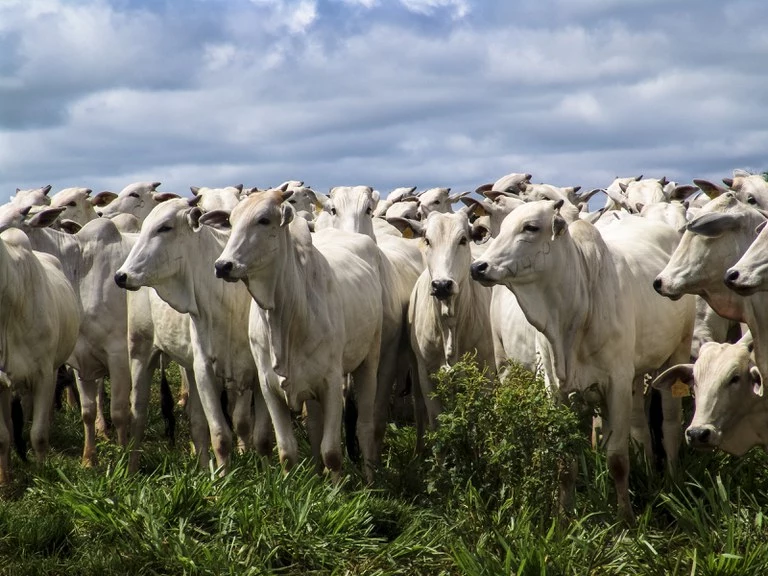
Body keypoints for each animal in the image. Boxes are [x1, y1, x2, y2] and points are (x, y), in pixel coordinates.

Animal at [112, 196, 272, 470]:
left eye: (165, 227)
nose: (121, 276)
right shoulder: (205, 368)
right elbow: (220, 436)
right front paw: (223, 478)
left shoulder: (256, 371)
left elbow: (260, 436)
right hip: (141, 350)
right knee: (138, 416)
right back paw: (131, 470)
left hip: (187, 366)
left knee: (196, 424)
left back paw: (203, 469)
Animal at [207, 190, 384, 482]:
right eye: (231, 222)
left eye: (264, 220)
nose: (223, 265)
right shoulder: (268, 386)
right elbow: (287, 451)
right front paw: (290, 484)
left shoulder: (331, 383)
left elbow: (332, 452)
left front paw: (337, 490)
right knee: (314, 428)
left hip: (369, 360)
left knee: (366, 426)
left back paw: (370, 480)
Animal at [472, 200, 700, 524]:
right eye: (500, 228)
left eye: (531, 227)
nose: (478, 267)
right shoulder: (557, 390)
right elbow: (565, 461)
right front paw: (564, 517)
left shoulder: (616, 384)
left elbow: (617, 458)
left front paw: (625, 518)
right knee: (640, 427)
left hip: (676, 352)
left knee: (669, 426)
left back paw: (672, 481)